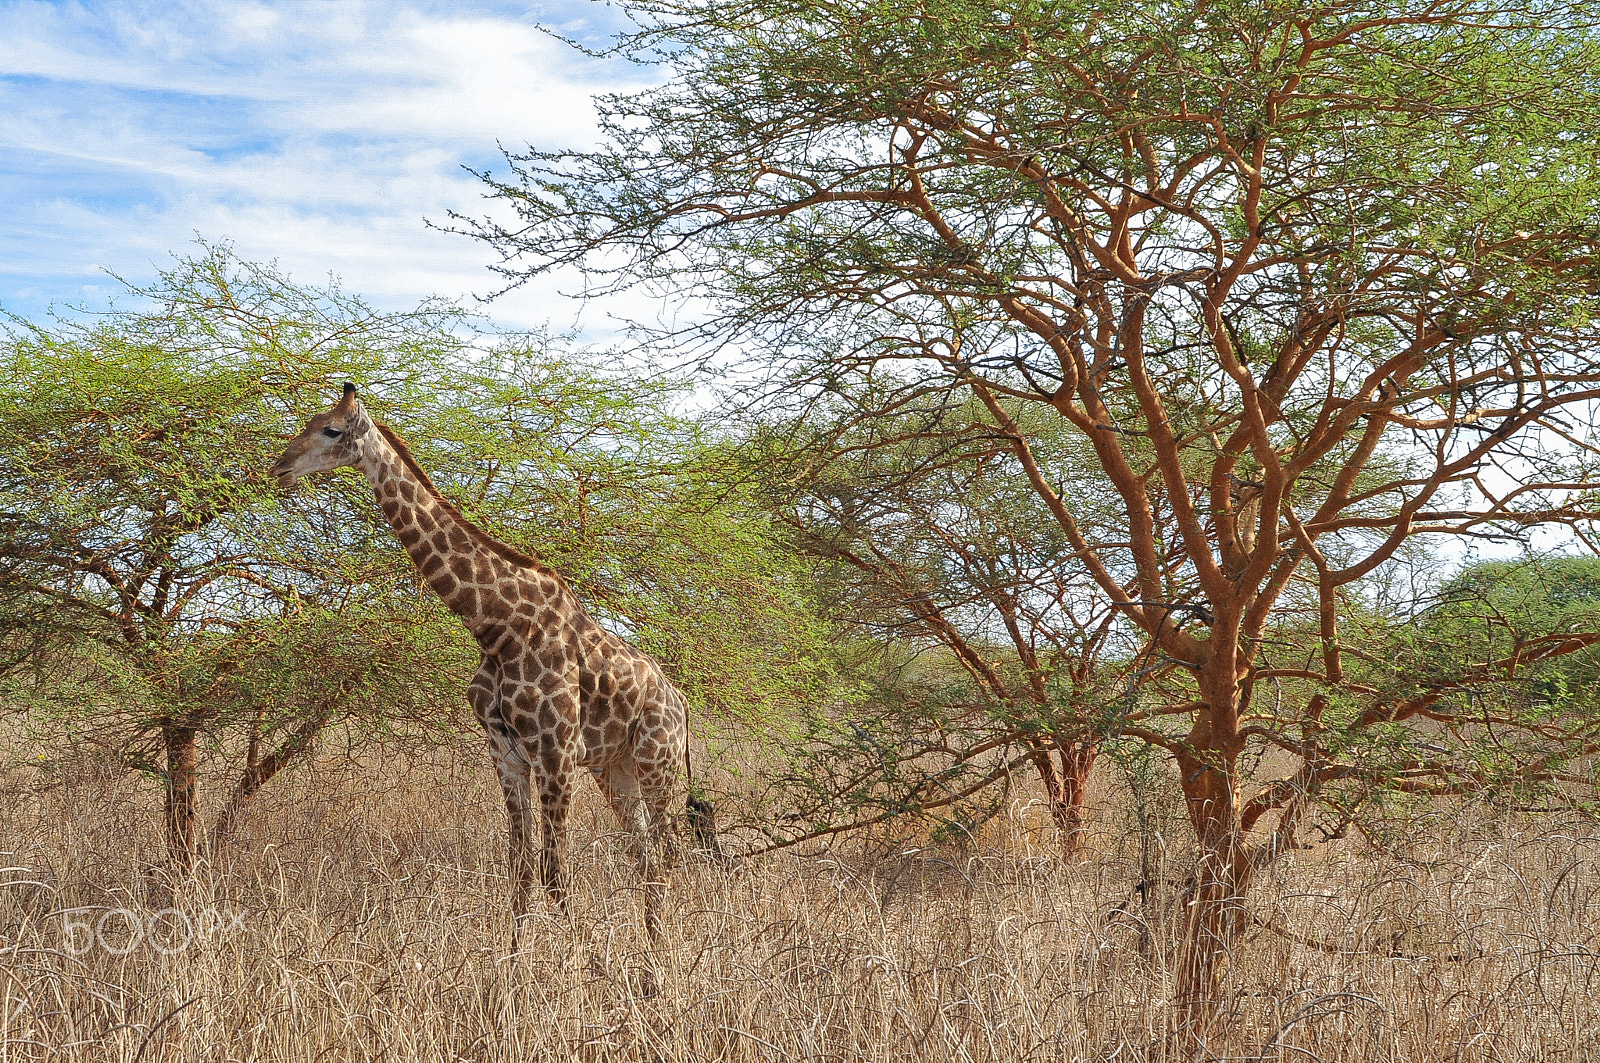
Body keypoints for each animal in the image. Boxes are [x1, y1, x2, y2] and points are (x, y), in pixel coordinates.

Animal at [270, 382, 694, 941]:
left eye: (331, 430)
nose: (279, 467)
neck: (495, 626)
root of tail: (680, 701)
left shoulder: (556, 756)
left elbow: (554, 874)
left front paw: (583, 960)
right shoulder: (506, 754)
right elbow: (521, 871)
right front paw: (514, 963)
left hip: (656, 763)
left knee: (666, 855)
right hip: (615, 768)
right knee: (645, 857)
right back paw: (652, 955)